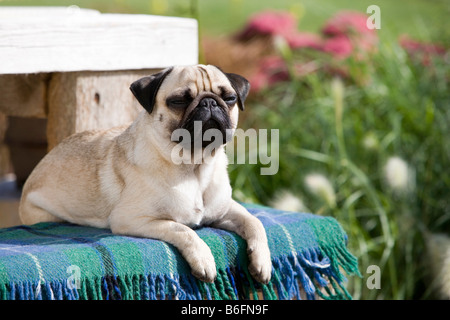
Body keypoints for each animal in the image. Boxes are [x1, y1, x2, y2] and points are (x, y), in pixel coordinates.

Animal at [19, 63, 272, 284]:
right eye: (178, 101)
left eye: (229, 98)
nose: (209, 102)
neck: (194, 166)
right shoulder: (133, 219)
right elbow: (183, 230)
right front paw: (204, 259)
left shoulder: (226, 209)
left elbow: (254, 222)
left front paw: (262, 261)